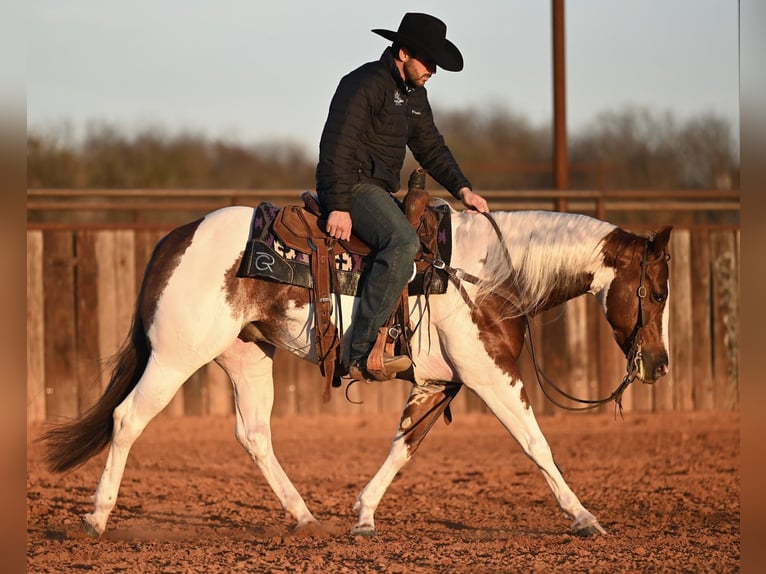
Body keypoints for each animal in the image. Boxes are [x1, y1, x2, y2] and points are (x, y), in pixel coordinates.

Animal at [43, 203, 672, 539]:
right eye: (659, 291)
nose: (660, 365)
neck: (490, 274)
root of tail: (176, 237)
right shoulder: (490, 375)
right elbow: (536, 444)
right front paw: (584, 517)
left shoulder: (440, 382)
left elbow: (403, 447)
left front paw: (364, 515)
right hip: (176, 357)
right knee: (127, 419)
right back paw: (97, 517)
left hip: (247, 357)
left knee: (254, 435)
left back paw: (303, 516)